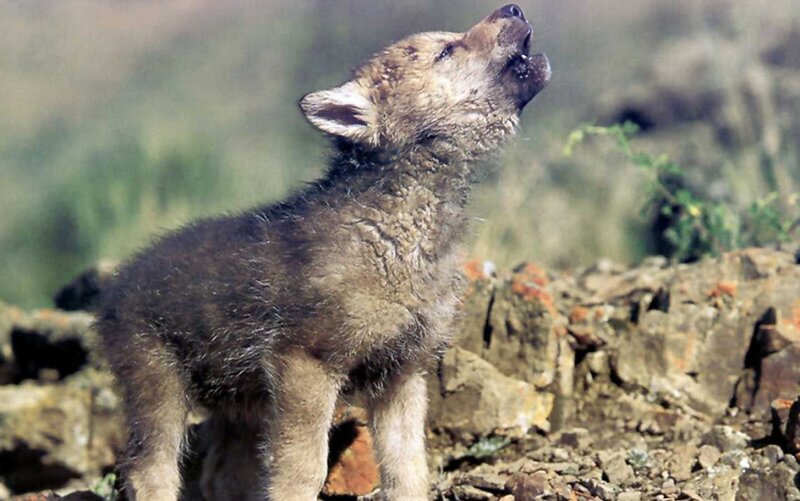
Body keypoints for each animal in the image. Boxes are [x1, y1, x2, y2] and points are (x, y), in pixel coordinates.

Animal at [96, 4, 550, 500]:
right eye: (447, 51)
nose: (514, 7)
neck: (400, 234)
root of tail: (116, 286)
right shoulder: (306, 364)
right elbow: (302, 469)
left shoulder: (403, 373)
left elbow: (407, 469)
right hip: (159, 386)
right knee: (150, 470)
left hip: (241, 401)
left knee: (221, 476)